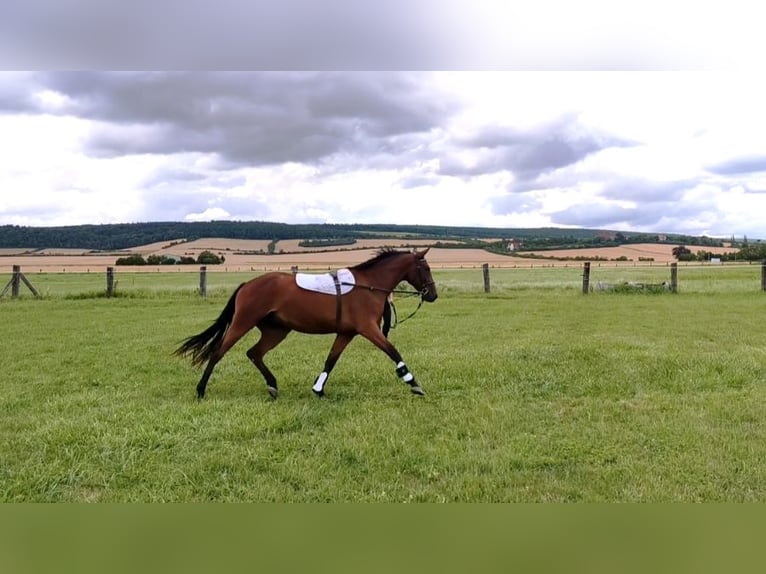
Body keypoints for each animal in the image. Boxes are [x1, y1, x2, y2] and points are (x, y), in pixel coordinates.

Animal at [175, 247, 438, 399]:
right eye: (425, 267)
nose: (433, 295)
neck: (369, 285)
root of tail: (247, 284)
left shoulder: (346, 333)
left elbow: (331, 360)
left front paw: (318, 389)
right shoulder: (368, 329)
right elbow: (394, 352)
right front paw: (413, 383)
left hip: (276, 330)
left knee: (254, 353)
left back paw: (272, 387)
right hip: (243, 323)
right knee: (219, 351)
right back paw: (200, 390)